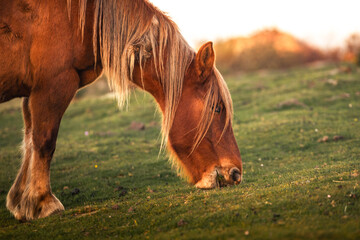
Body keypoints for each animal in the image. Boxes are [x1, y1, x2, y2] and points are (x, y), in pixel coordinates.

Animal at [0, 0, 242, 221]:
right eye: (217, 108)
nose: (236, 173)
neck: (82, 21)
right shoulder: (53, 85)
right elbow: (44, 142)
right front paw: (43, 201)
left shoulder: (32, 92)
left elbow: (29, 141)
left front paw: (20, 202)